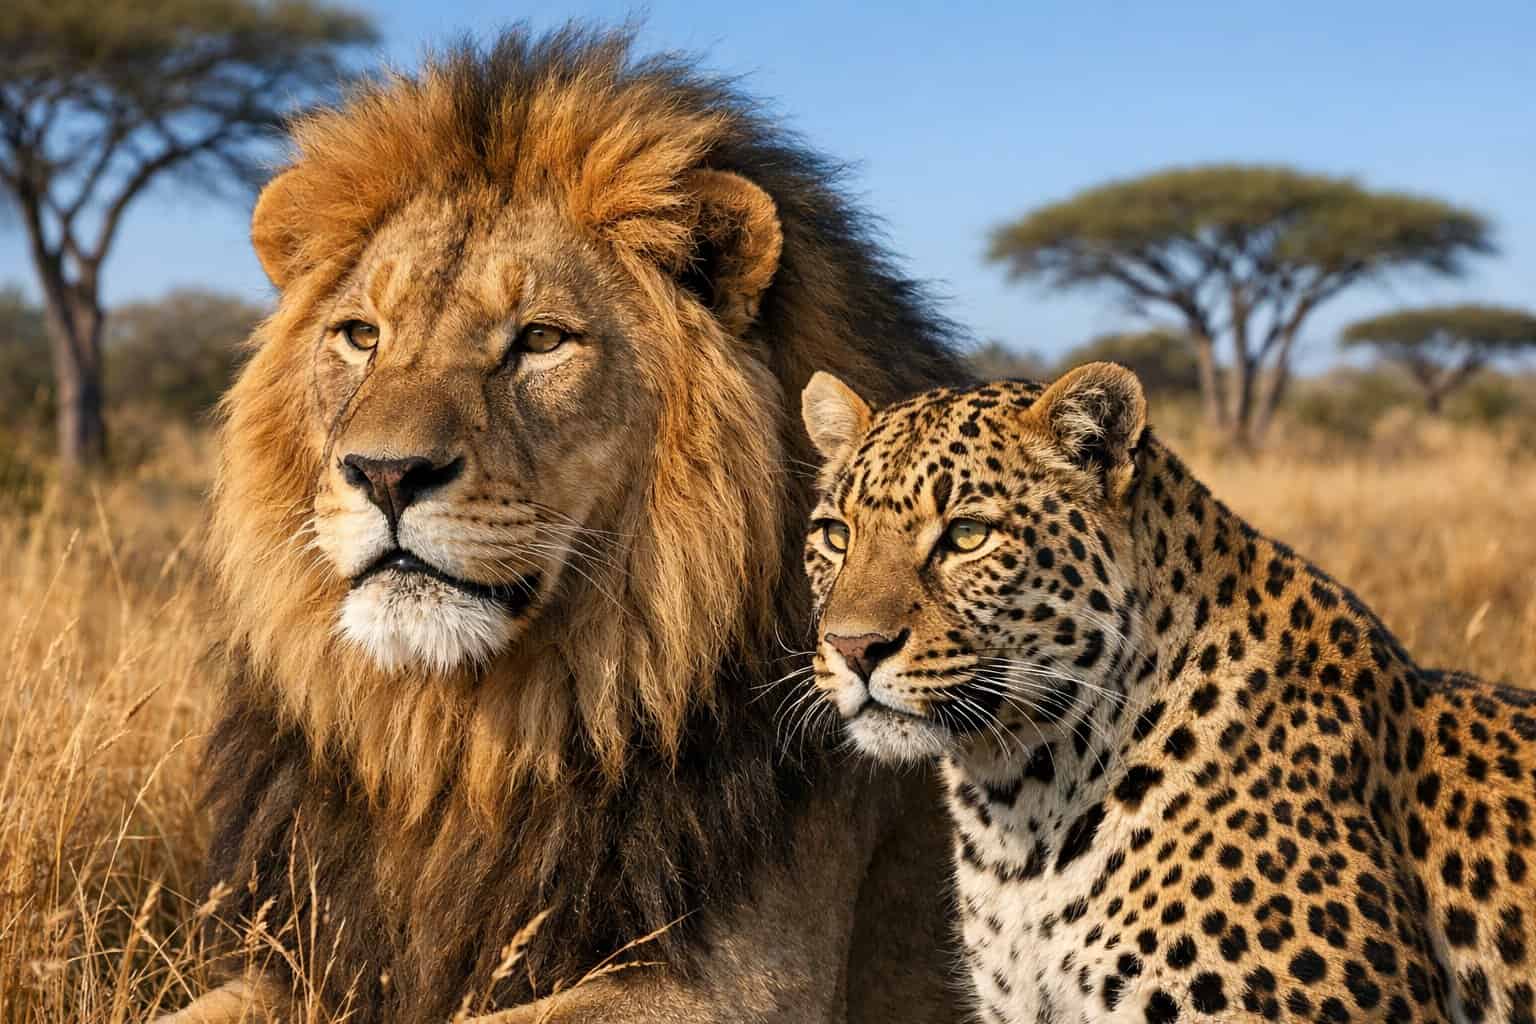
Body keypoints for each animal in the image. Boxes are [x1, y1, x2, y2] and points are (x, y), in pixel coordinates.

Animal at [164, 26, 970, 1024]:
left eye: (541, 340)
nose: (385, 473)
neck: (464, 744)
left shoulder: (741, 986)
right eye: (361, 335)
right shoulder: (311, 958)